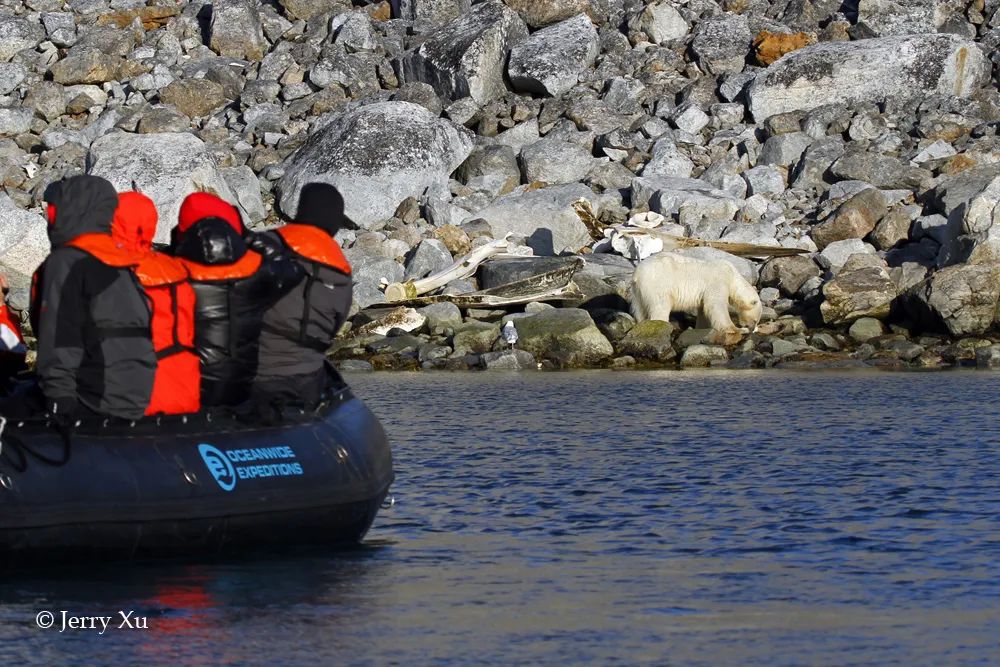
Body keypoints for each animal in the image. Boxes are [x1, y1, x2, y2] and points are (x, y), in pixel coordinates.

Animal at [628, 252, 760, 334]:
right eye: (755, 320)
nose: (752, 329)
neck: (732, 276)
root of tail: (637, 274)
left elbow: (704, 309)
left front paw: (701, 327)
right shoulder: (718, 281)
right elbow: (716, 305)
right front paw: (736, 329)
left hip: (637, 292)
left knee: (639, 311)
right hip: (658, 284)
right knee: (660, 306)